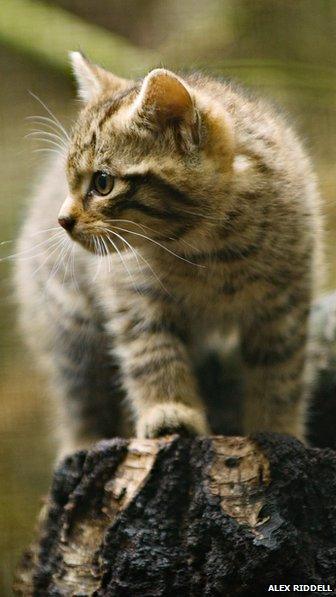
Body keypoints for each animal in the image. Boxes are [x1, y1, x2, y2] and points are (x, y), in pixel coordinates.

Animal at [14, 52, 322, 452]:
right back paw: (82, 442)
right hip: (71, 321)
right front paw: (168, 411)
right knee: (81, 395)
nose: (62, 220)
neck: (212, 252)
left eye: (102, 183)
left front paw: (278, 429)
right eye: (71, 182)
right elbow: (153, 353)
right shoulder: (132, 295)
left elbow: (280, 372)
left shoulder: (285, 302)